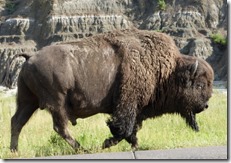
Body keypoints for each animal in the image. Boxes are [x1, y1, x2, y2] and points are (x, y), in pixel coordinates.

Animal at [9, 28, 214, 152]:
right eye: (199, 85)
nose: (205, 106)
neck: (168, 71)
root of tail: (30, 56)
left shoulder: (137, 110)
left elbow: (132, 129)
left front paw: (134, 145)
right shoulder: (127, 104)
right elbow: (123, 128)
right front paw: (107, 143)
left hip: (28, 101)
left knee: (17, 122)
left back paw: (14, 150)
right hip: (56, 102)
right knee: (60, 126)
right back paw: (82, 149)